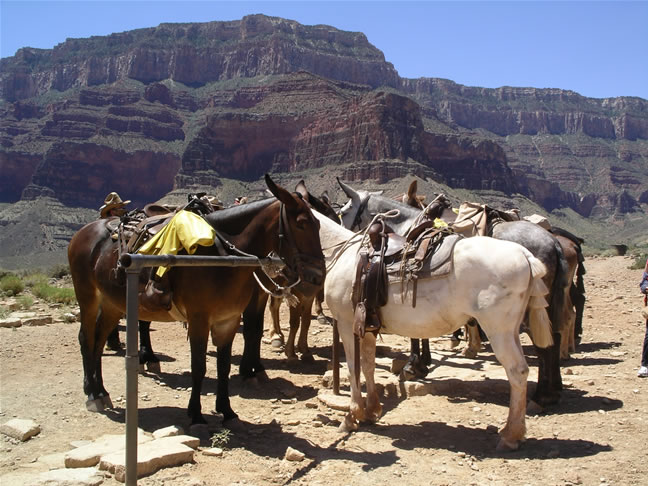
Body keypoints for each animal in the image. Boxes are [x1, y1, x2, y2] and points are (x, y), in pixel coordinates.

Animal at [67, 175, 325, 425]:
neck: (222, 258)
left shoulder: (229, 319)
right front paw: (197, 415)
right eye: (301, 223)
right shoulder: (200, 319)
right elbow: (199, 365)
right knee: (86, 338)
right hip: (87, 296)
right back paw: (93, 394)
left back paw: (103, 391)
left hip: (112, 303)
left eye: (319, 224)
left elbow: (224, 364)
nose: (318, 275)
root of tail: (83, 232)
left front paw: (227, 410)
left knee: (99, 340)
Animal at [313, 209, 552, 451]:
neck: (340, 252)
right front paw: (371, 410)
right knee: (522, 371)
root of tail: (525, 255)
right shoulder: (367, 327)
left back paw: (510, 435)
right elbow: (368, 365)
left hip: (498, 331)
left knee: (517, 372)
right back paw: (514, 431)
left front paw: (352, 416)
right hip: (511, 330)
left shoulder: (346, 324)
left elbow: (353, 369)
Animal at [336, 178, 570, 408]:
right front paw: (423, 363)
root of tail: (554, 242)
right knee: (554, 337)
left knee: (543, 347)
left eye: (345, 211)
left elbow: (415, 334)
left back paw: (542, 394)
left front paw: (413, 366)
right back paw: (553, 390)